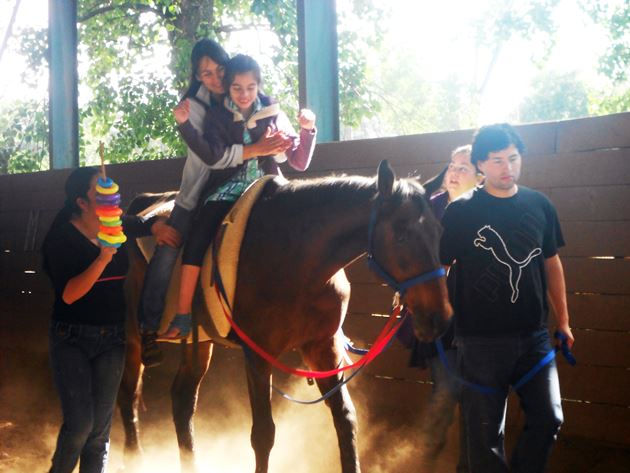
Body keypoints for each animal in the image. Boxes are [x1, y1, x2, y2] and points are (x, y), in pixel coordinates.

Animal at [117, 160, 453, 473]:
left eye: (439, 231)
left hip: (198, 341)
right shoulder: (257, 355)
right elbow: (263, 434)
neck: (297, 256)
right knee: (128, 395)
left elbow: (345, 418)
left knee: (182, 400)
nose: (439, 317)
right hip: (132, 338)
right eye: (401, 235)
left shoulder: (323, 348)